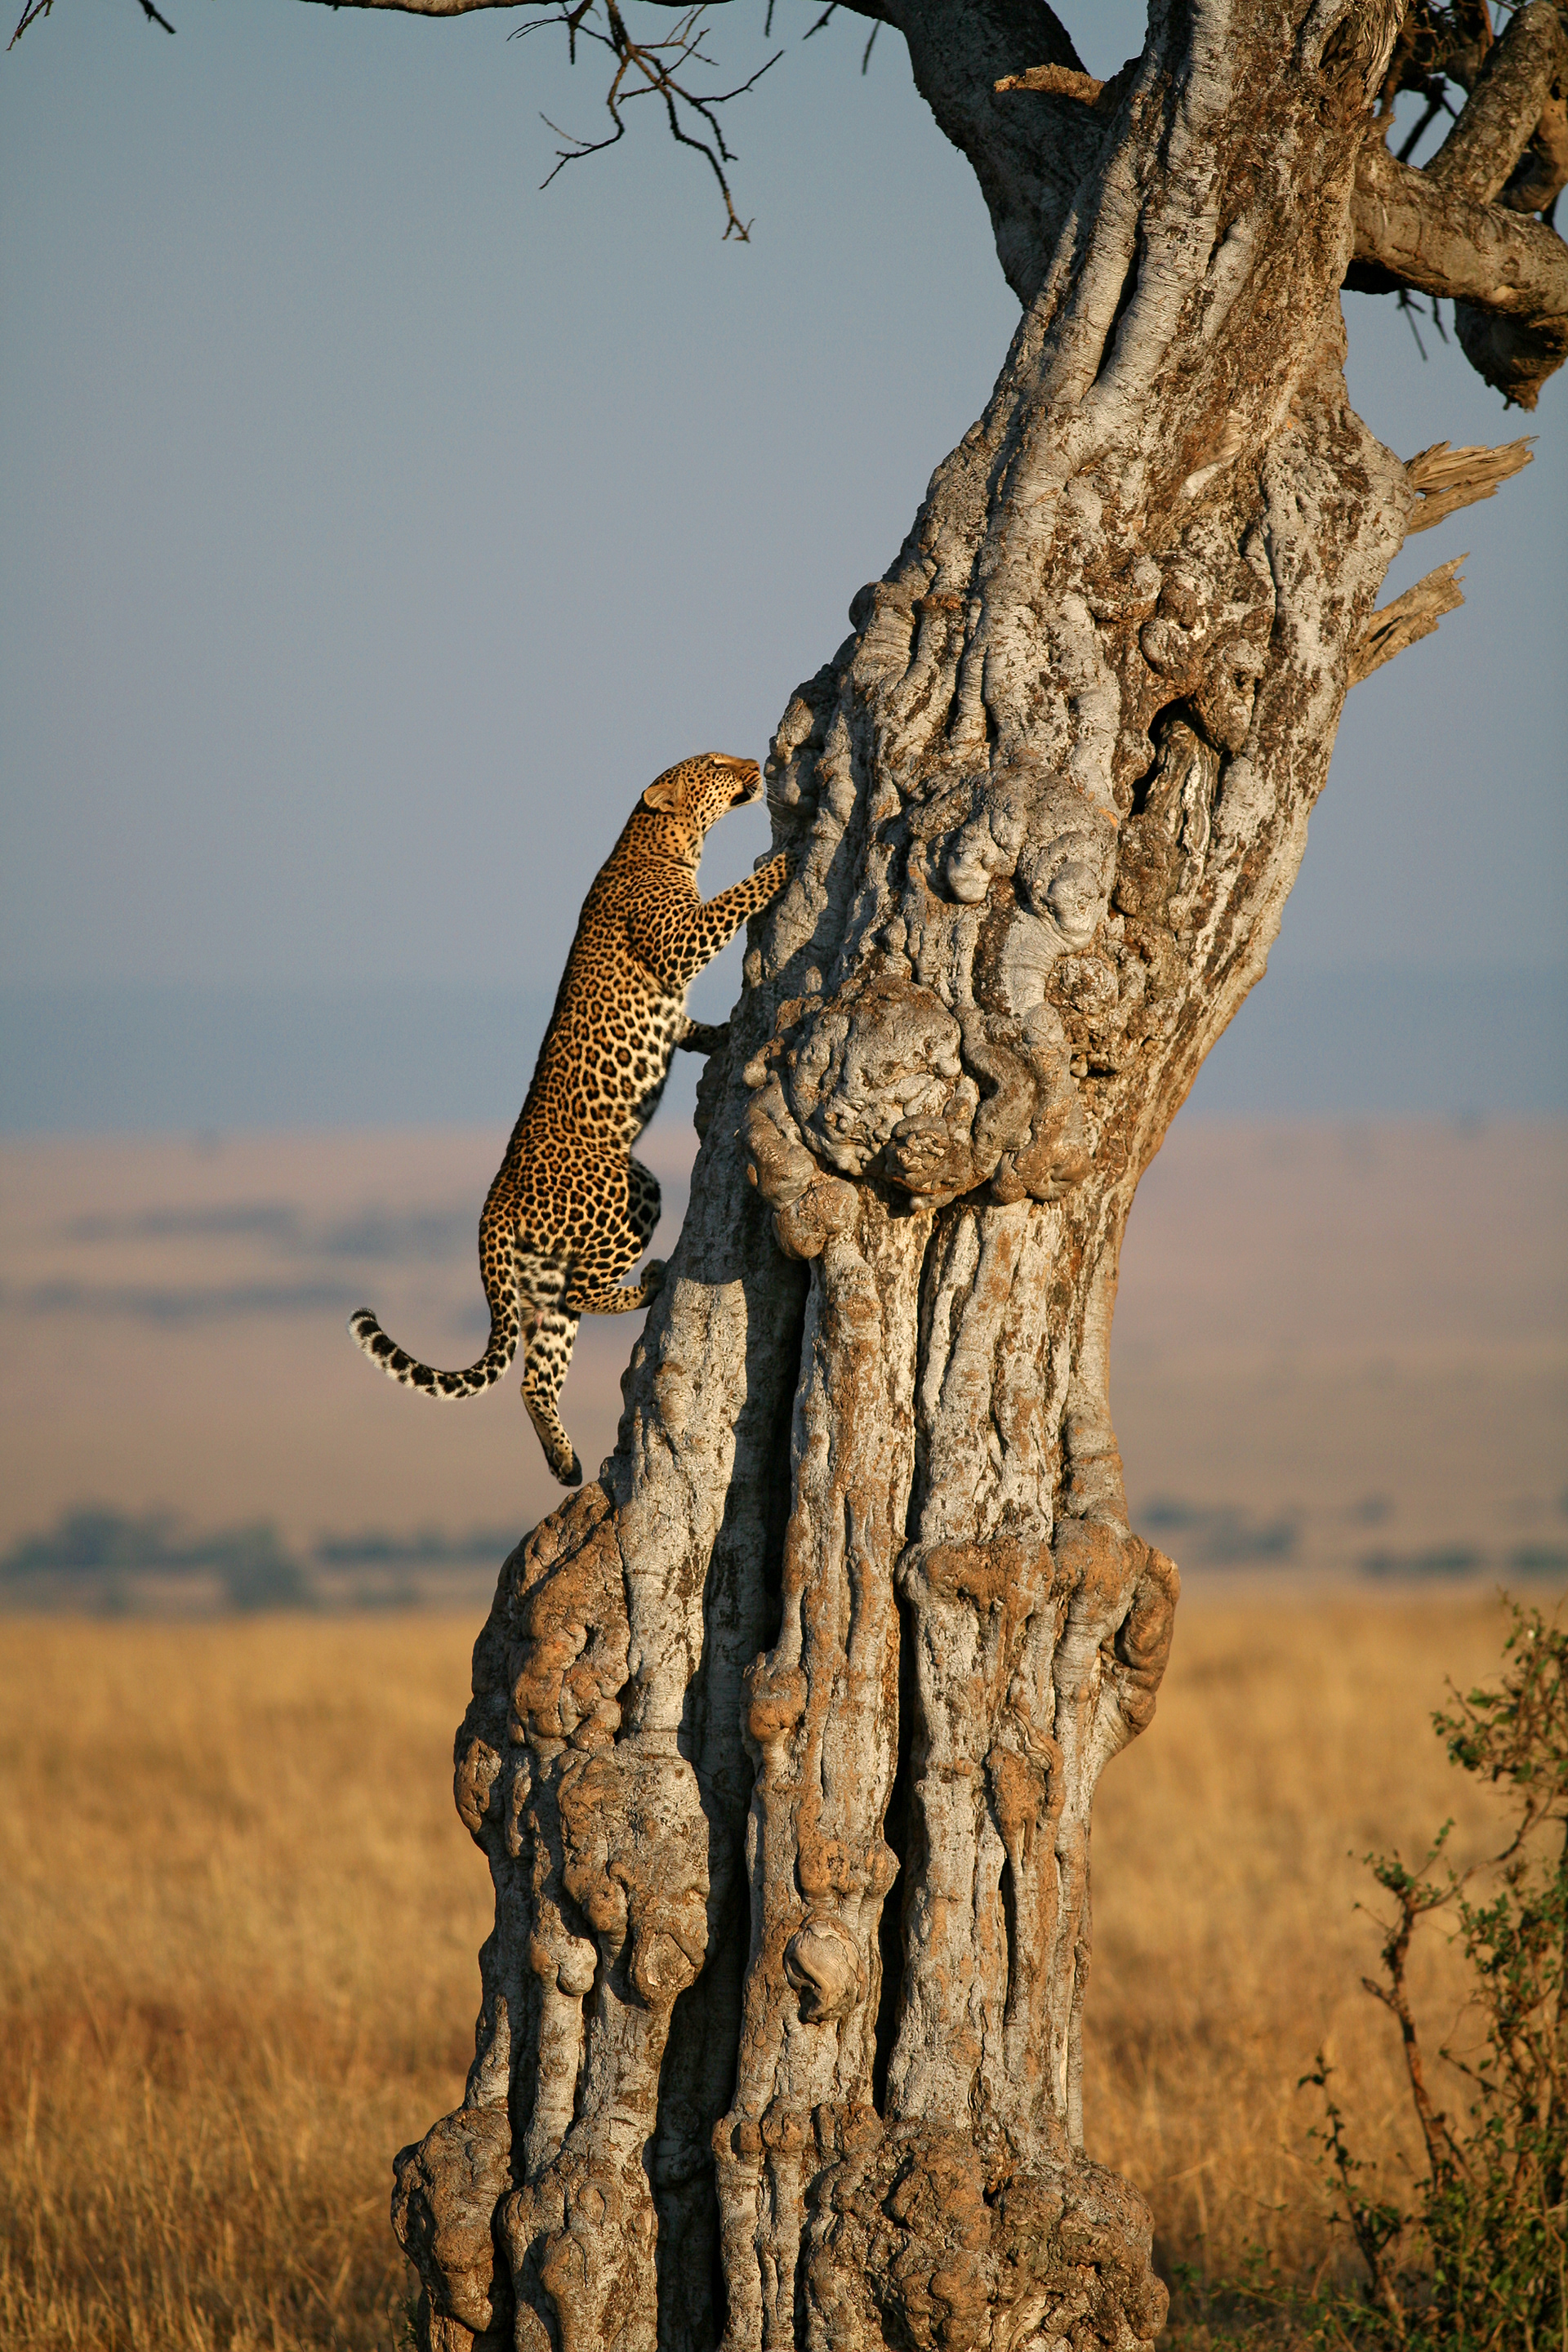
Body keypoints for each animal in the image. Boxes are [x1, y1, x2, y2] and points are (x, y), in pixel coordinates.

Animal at [349, 751, 791, 1485]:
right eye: (710, 764)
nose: (752, 761)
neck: (663, 841)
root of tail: (493, 1206)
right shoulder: (680, 938)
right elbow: (733, 899)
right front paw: (782, 864)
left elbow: (692, 1027)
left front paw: (726, 1034)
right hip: (626, 1190)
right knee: (587, 1289)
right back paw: (650, 1285)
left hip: (541, 1276)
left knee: (537, 1368)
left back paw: (564, 1461)